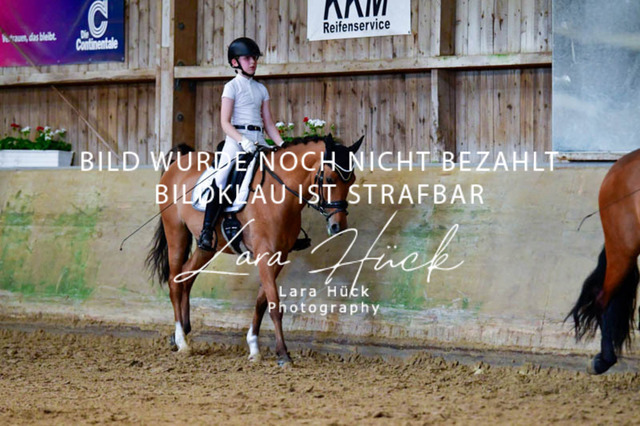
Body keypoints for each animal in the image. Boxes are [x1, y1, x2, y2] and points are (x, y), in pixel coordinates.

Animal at [146, 134, 364, 366]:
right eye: (330, 179)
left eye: (351, 180)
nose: (338, 226)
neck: (278, 192)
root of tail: (179, 162)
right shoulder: (265, 254)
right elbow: (275, 305)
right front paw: (283, 354)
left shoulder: (279, 256)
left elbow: (261, 301)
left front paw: (254, 347)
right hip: (175, 232)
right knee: (174, 281)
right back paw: (181, 341)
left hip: (208, 246)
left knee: (187, 276)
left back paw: (182, 334)